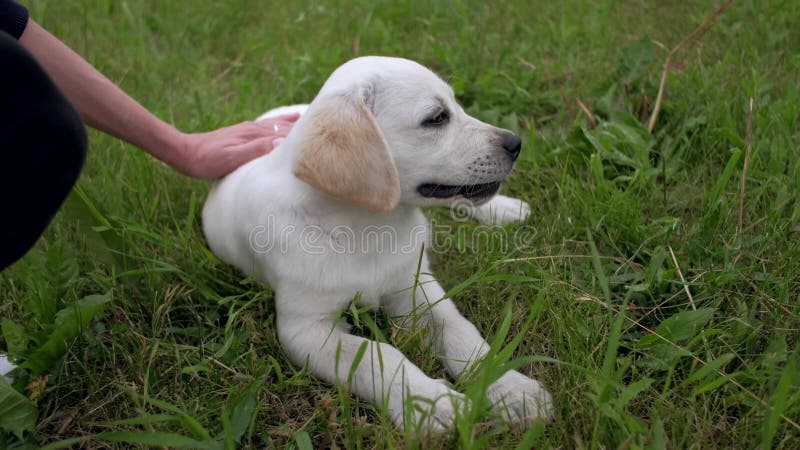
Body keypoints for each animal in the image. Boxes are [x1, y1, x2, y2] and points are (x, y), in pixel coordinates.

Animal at [202, 56, 552, 432]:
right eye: (436, 118)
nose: (516, 143)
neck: (367, 227)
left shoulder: (416, 288)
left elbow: (461, 330)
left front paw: (511, 389)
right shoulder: (306, 329)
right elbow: (377, 356)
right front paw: (429, 403)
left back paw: (504, 209)